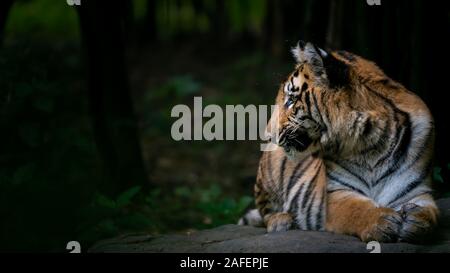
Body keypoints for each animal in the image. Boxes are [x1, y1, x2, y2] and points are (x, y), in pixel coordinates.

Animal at [239, 41, 440, 242]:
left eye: (290, 100)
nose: (268, 135)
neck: (373, 143)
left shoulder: (417, 190)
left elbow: (430, 213)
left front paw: (417, 221)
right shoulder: (335, 194)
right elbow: (356, 209)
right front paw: (382, 221)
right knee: (266, 212)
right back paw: (281, 221)